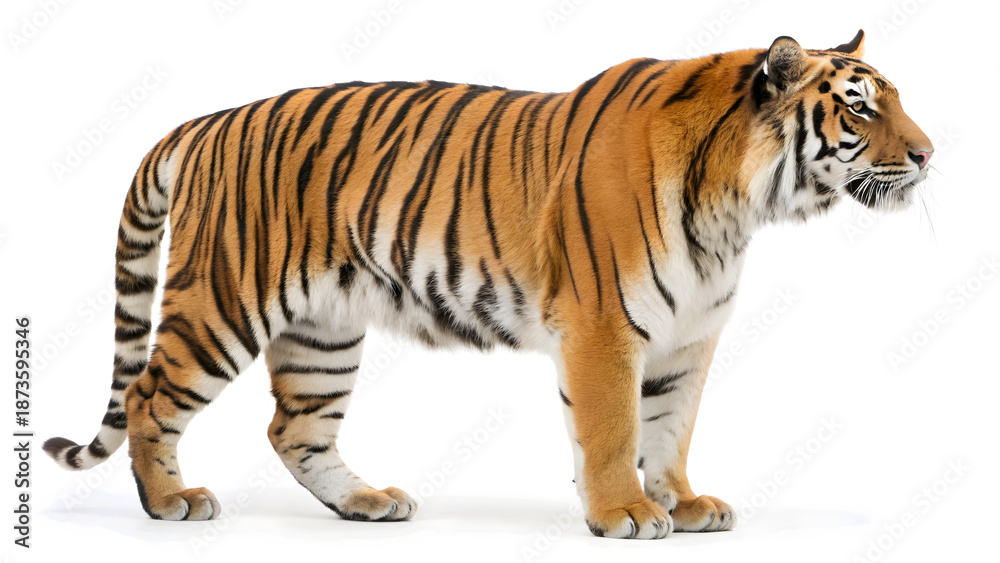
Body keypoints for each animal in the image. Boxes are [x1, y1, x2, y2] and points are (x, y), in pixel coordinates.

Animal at [44, 29, 932, 538]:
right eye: (859, 109)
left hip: (322, 329)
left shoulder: (690, 336)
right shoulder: (604, 325)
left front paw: (682, 503)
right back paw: (170, 502)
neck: (738, 207)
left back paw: (366, 503)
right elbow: (613, 429)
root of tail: (207, 120)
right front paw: (625, 514)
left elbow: (671, 426)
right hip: (223, 302)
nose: (929, 153)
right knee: (150, 395)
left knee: (295, 428)